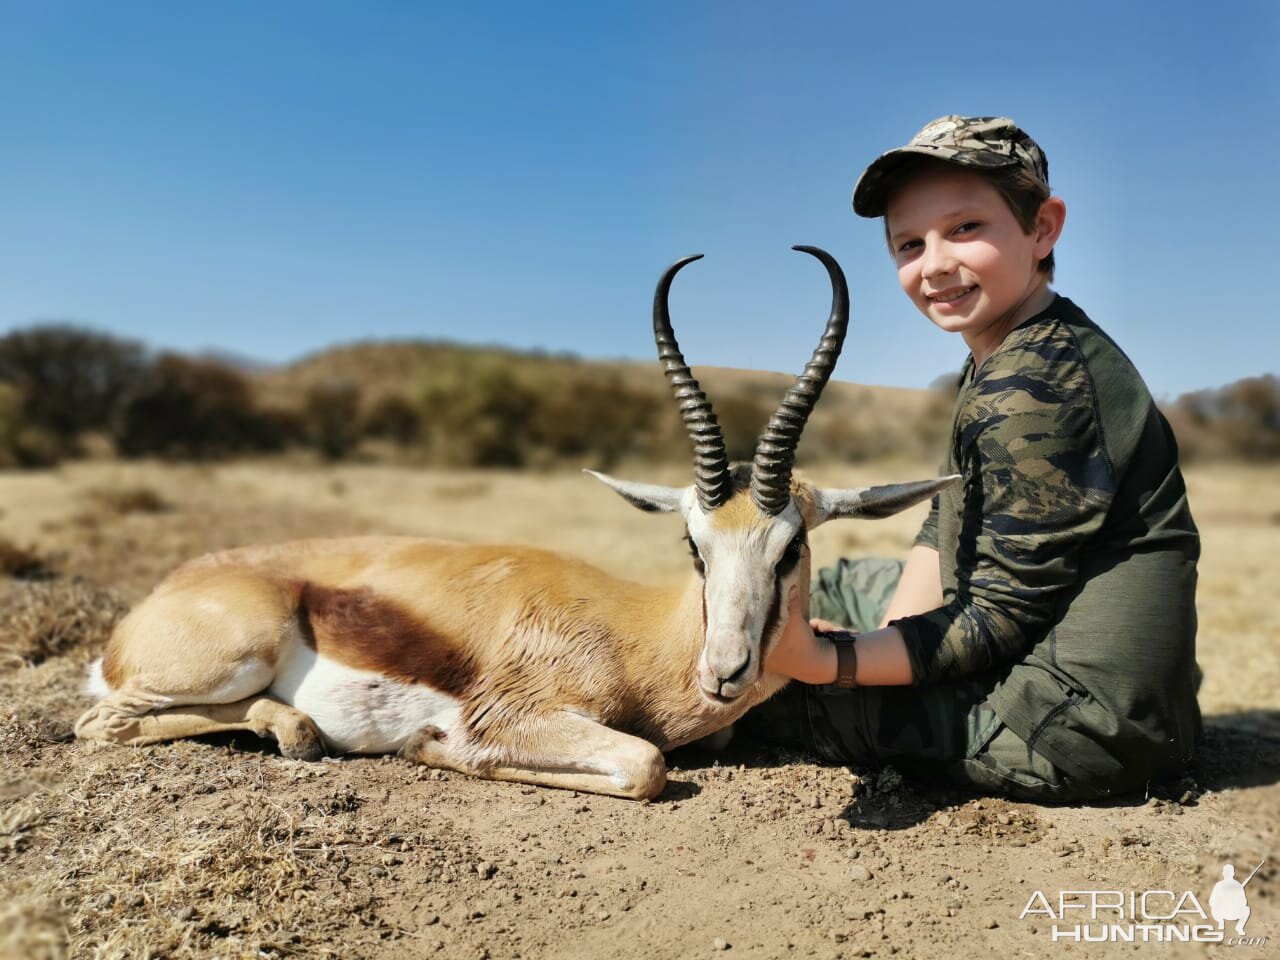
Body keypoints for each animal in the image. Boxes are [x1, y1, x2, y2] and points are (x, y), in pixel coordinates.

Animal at [74, 244, 957, 798]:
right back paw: (295, 731)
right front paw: (434, 746)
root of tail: (156, 600)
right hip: (233, 655)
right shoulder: (519, 714)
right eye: (693, 544)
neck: (640, 638)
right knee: (100, 723)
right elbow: (646, 765)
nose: (725, 670)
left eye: (791, 545)